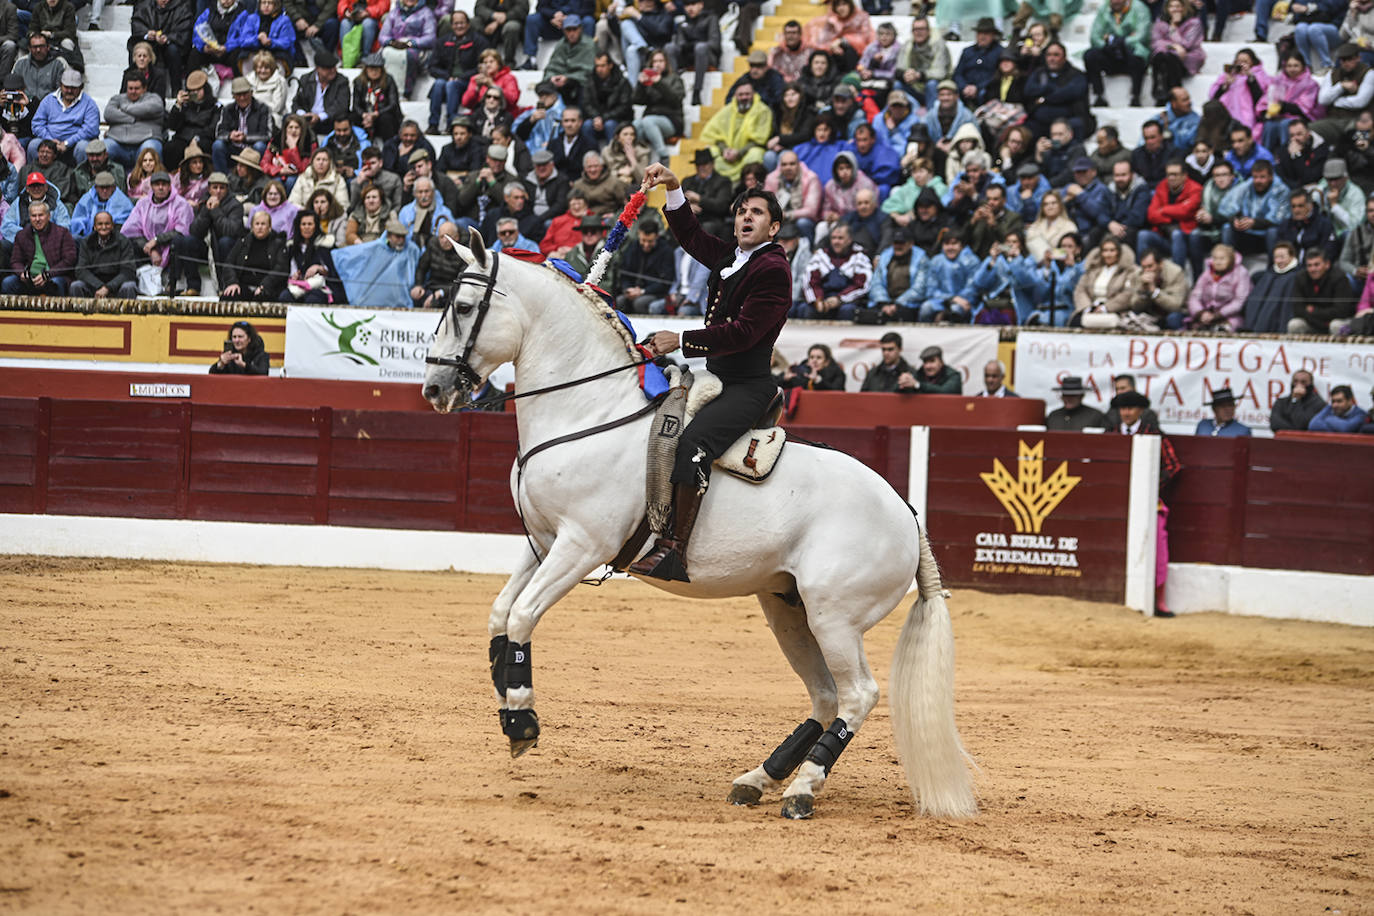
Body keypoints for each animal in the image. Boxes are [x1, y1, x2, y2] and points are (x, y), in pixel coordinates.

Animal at [417, 233, 978, 818]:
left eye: (463, 307)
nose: (433, 388)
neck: (589, 412)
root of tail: (906, 513)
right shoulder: (543, 542)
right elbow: (500, 614)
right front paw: (507, 700)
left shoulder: (581, 545)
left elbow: (523, 616)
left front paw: (522, 720)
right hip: (789, 610)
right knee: (826, 694)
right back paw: (759, 778)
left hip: (835, 618)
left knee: (858, 694)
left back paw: (802, 789)